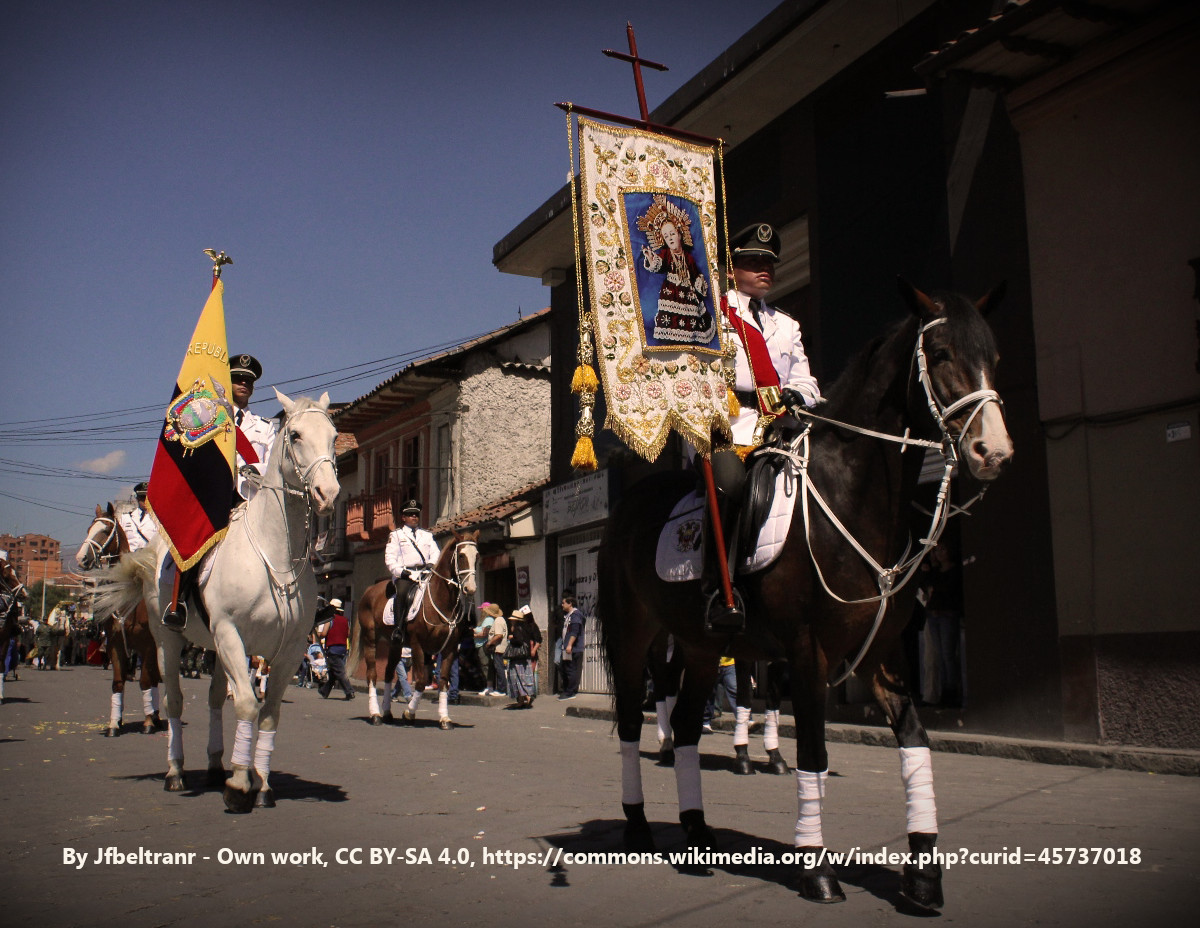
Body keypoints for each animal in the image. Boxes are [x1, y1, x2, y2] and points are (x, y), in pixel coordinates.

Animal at [76, 504, 163, 734]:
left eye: (106, 531)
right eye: (88, 528)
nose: (81, 558)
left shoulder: (148, 645)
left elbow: (145, 682)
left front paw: (148, 722)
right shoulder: (115, 643)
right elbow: (117, 683)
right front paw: (114, 723)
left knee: (155, 680)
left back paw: (155, 717)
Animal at [99, 391, 338, 811]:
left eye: (334, 435)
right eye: (294, 435)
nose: (329, 493)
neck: (275, 556)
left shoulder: (289, 649)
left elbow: (268, 714)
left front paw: (262, 783)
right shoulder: (230, 634)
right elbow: (245, 705)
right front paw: (240, 785)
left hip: (215, 647)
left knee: (212, 699)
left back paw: (214, 765)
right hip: (168, 641)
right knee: (175, 700)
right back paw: (176, 771)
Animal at [348, 533, 477, 729]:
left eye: (476, 555)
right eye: (461, 555)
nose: (470, 588)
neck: (441, 602)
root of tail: (369, 591)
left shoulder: (449, 649)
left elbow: (443, 682)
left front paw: (444, 718)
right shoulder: (418, 646)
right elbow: (421, 682)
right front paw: (409, 713)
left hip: (395, 643)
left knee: (388, 673)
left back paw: (387, 712)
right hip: (371, 639)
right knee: (372, 675)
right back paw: (375, 714)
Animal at [600, 280, 1012, 902]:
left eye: (993, 356)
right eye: (939, 355)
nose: (994, 452)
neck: (851, 497)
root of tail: (629, 505)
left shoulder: (881, 656)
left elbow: (916, 745)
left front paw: (923, 873)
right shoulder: (807, 651)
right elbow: (812, 753)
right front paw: (817, 866)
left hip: (700, 646)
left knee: (691, 722)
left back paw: (696, 829)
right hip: (633, 637)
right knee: (631, 722)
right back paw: (638, 822)